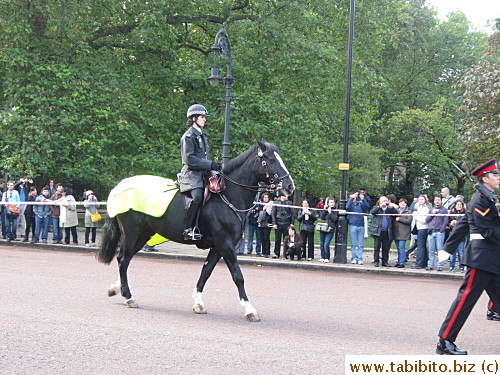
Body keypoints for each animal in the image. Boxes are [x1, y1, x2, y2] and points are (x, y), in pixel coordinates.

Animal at [95, 140, 294, 322]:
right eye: (270, 160)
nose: (289, 186)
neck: (227, 196)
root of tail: (120, 187)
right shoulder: (226, 245)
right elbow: (238, 276)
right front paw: (249, 309)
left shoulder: (218, 247)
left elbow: (205, 272)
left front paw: (198, 302)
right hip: (132, 232)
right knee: (123, 259)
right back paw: (129, 296)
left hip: (144, 234)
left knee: (126, 259)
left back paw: (117, 289)